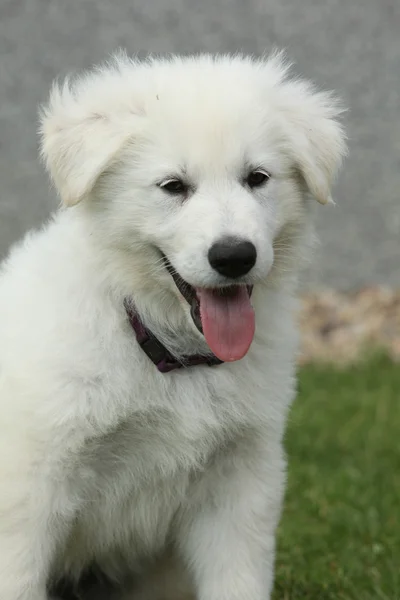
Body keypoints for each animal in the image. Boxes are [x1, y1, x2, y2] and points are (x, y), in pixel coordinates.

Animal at [0, 52, 346, 600]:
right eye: (173, 186)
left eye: (257, 178)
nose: (234, 256)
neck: (161, 345)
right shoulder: (31, 487)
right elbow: (18, 579)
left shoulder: (240, 482)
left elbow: (238, 581)